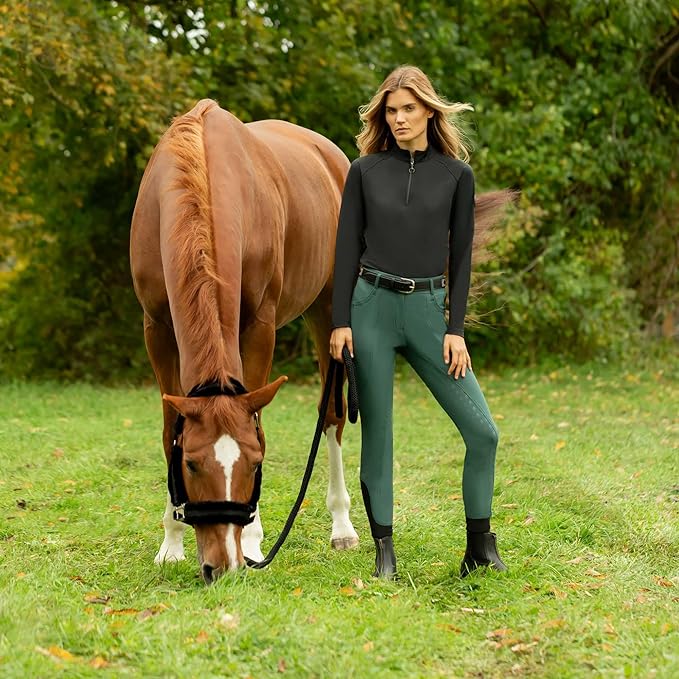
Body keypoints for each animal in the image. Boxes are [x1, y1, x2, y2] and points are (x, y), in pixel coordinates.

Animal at [130, 99, 511, 584]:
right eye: (192, 464)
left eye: (255, 463)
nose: (225, 566)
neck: (200, 174)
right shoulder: (157, 329)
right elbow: (168, 430)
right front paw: (171, 542)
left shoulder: (259, 326)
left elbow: (260, 421)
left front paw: (252, 541)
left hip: (327, 312)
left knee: (331, 416)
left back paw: (343, 528)